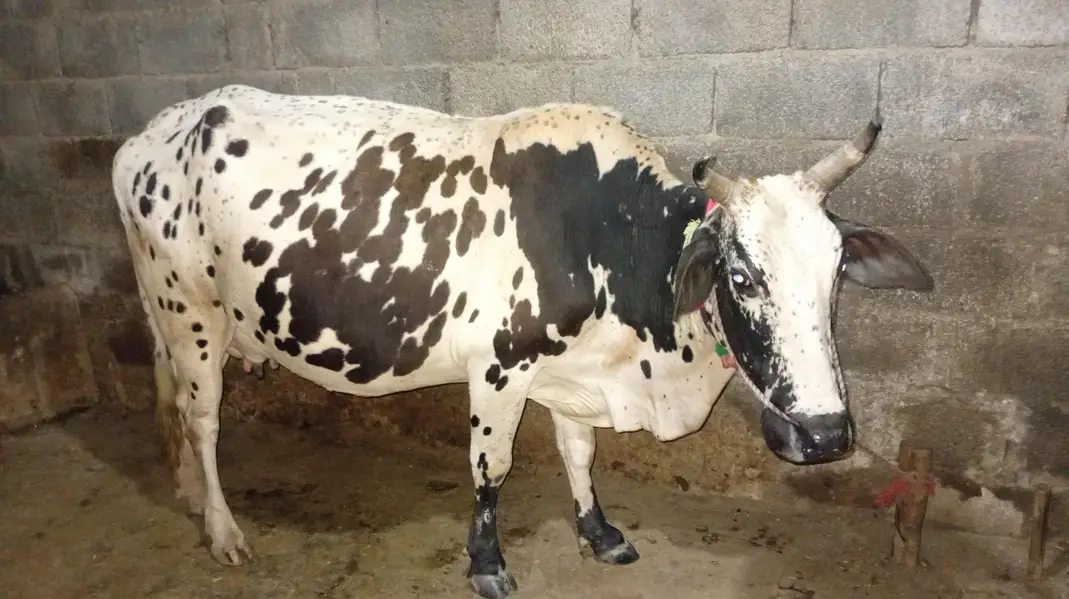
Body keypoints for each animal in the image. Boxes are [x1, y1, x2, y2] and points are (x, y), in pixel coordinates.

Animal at [111, 85, 932, 599]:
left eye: (836, 271)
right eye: (740, 274)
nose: (826, 434)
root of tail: (153, 132)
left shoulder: (573, 375)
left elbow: (579, 453)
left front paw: (598, 532)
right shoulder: (499, 366)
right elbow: (491, 466)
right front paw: (486, 562)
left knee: (174, 407)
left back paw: (190, 493)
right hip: (190, 313)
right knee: (203, 419)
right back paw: (222, 527)